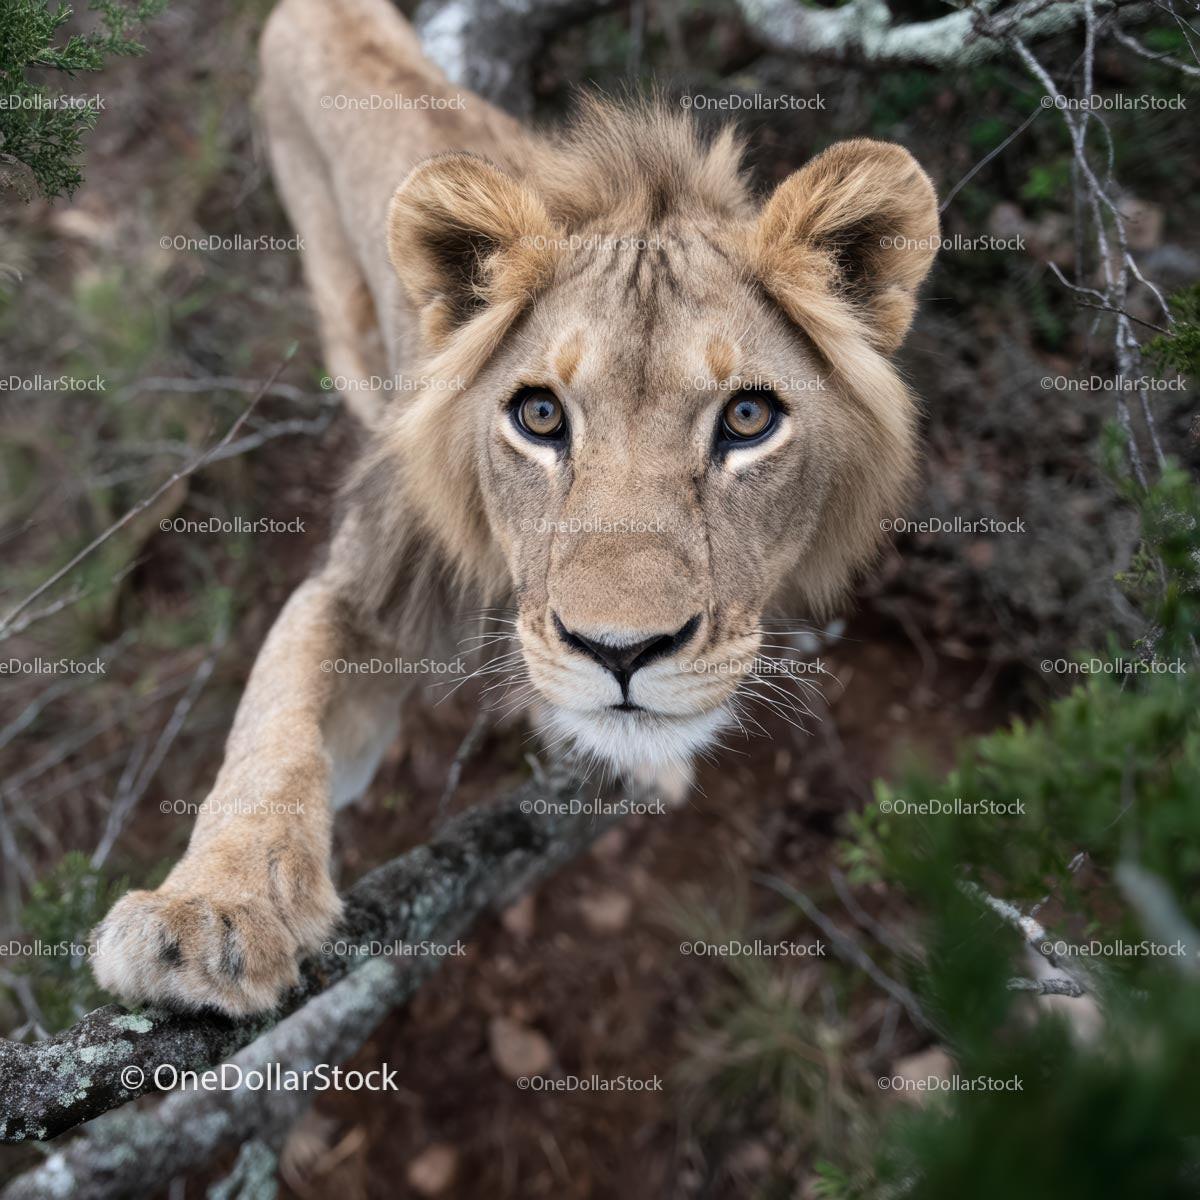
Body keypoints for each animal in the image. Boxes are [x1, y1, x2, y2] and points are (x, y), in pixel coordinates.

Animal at [90, 0, 939, 1016]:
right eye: (540, 416)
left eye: (747, 418)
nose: (622, 652)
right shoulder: (373, 575)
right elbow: (275, 721)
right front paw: (207, 913)